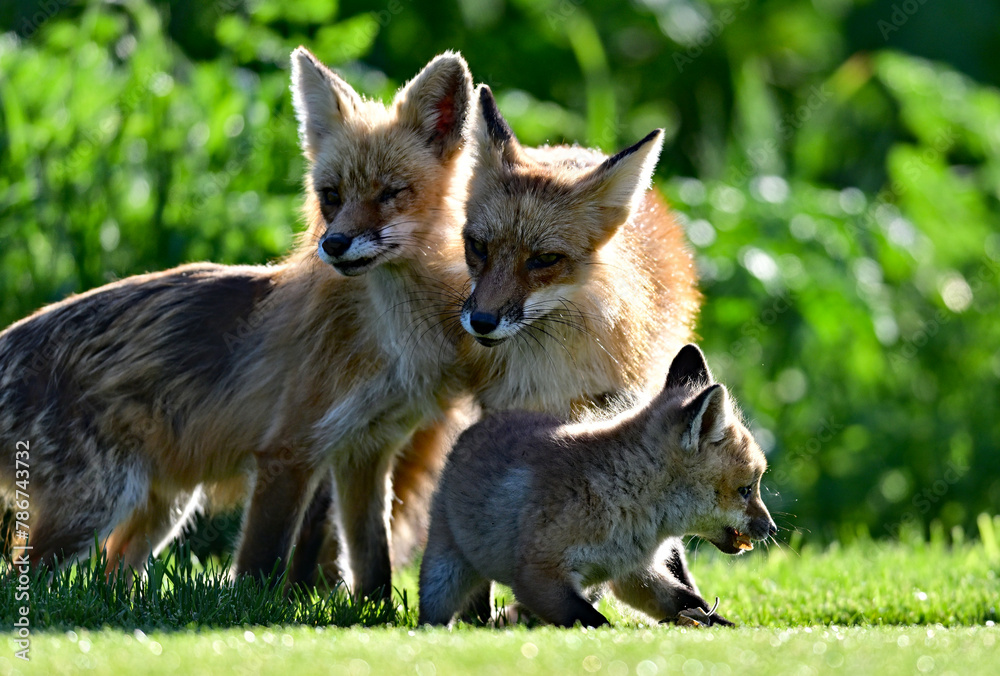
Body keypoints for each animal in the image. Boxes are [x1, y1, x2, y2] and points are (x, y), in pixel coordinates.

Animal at [0, 48, 474, 600]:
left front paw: (380, 617)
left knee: (111, 574)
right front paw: (255, 610)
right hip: (96, 505)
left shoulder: (367, 451)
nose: (333, 244)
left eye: (391, 193)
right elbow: (258, 567)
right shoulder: (289, 450)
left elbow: (373, 564)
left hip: (162, 505)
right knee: (22, 579)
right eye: (331, 195)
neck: (385, 337)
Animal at [418, 344, 778, 628]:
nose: (772, 528)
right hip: (444, 573)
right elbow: (597, 622)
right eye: (746, 490)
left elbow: (687, 601)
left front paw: (729, 628)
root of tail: (473, 429)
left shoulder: (634, 573)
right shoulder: (539, 575)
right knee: (436, 614)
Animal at [440, 86, 715, 621]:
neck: (550, 367)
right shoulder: (505, 412)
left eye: (545, 259)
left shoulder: (613, 404)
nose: (481, 321)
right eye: (477, 247)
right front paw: (481, 613)